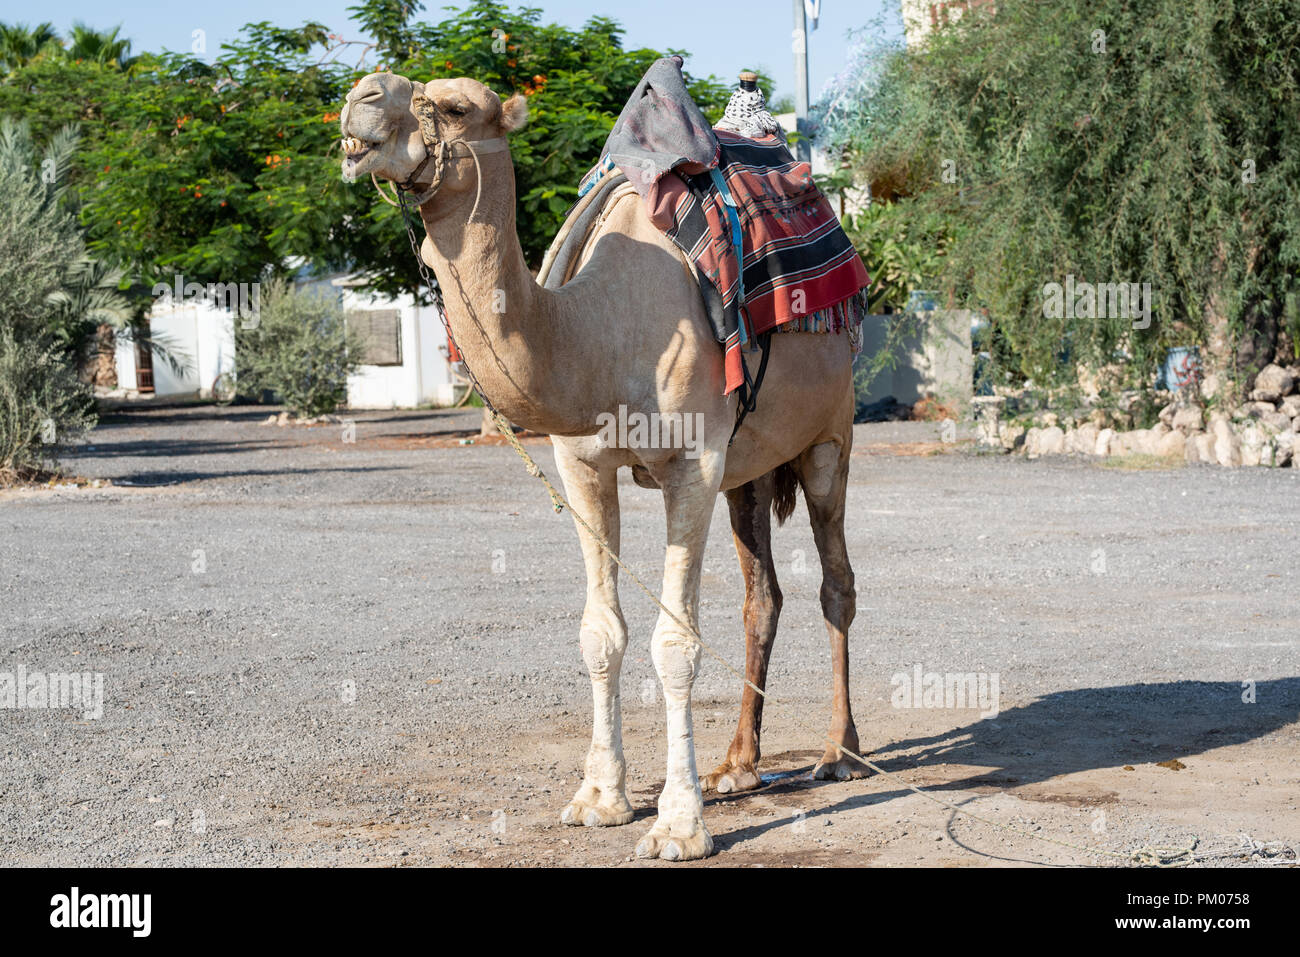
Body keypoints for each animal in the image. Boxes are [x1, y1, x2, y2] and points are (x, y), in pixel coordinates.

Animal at [345, 70, 868, 858]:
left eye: (458, 107)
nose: (360, 100)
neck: (593, 332)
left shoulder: (693, 461)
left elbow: (675, 642)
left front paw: (678, 827)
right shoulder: (582, 463)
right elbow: (601, 632)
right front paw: (599, 798)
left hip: (830, 434)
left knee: (836, 581)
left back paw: (839, 753)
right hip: (749, 467)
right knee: (762, 597)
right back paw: (736, 765)